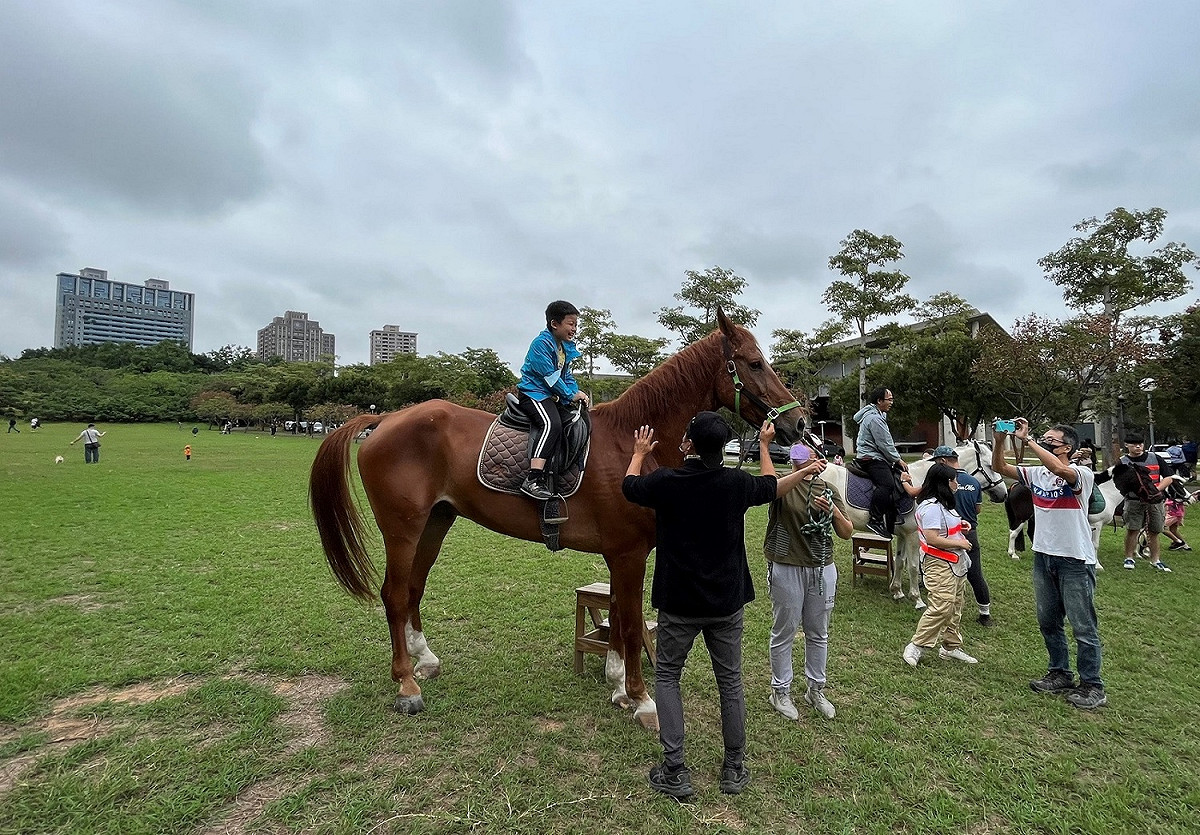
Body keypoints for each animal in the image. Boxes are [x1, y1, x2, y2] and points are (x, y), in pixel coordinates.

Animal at [309, 309, 808, 731]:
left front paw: (617, 685)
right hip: (403, 529)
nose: (799, 424)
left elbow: (619, 619)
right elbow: (629, 623)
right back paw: (406, 683)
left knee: (413, 588)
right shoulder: (628, 554)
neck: (632, 444)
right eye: (755, 363)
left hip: (435, 523)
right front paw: (640, 698)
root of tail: (387, 418)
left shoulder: (619, 556)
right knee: (393, 594)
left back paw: (424, 659)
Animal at [819, 440, 1008, 608]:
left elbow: (900, 561)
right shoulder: (913, 535)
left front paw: (897, 591)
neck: (923, 482)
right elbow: (913, 566)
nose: (1004, 494)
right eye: (991, 466)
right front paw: (917, 599)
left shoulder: (903, 534)